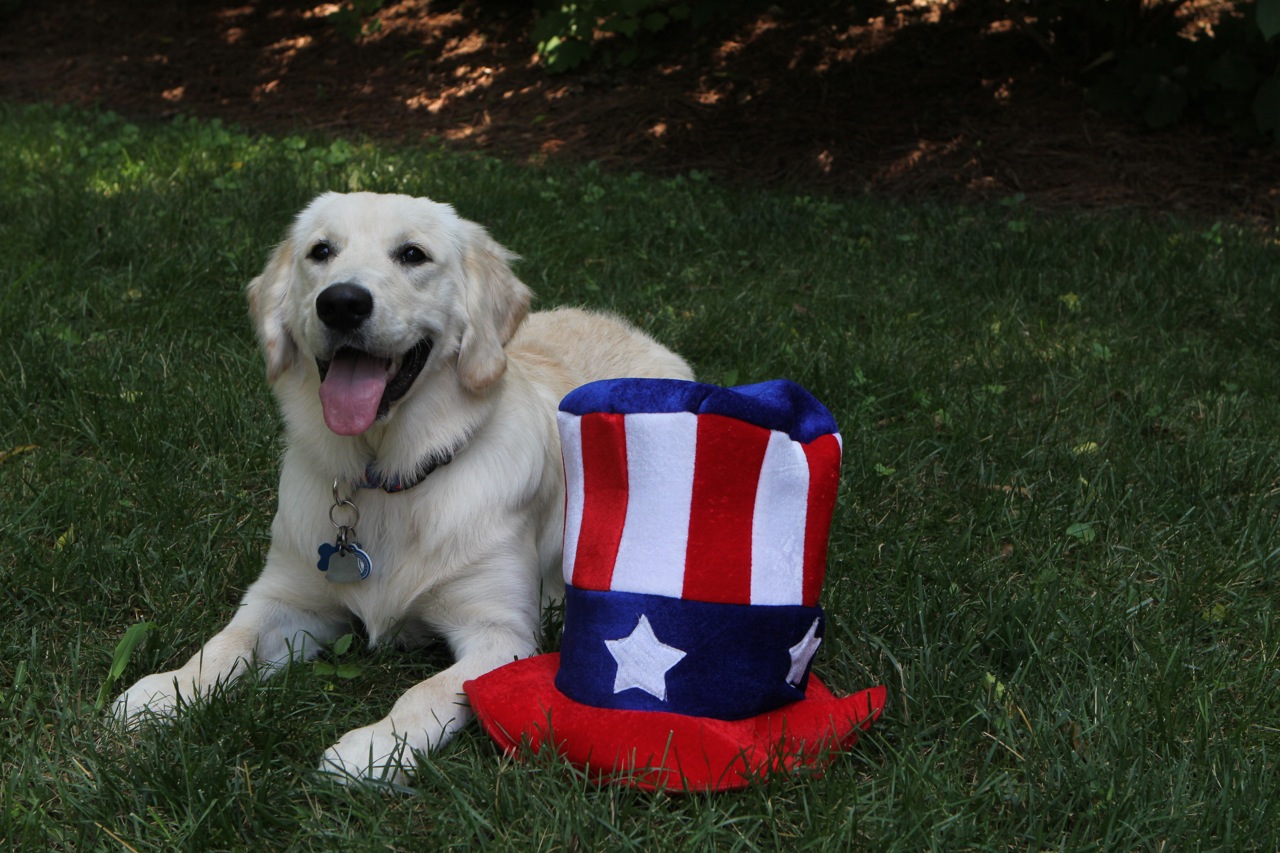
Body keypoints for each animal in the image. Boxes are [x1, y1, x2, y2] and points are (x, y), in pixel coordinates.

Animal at [115, 189, 696, 778]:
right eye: (321, 251)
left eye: (412, 254)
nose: (341, 303)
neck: (388, 478)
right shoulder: (286, 597)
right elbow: (226, 641)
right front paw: (164, 692)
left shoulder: (502, 633)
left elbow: (427, 692)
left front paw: (372, 749)